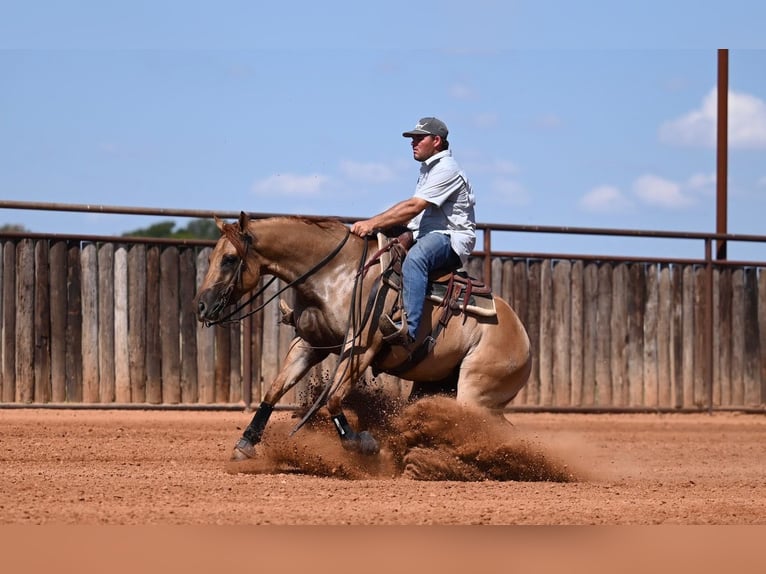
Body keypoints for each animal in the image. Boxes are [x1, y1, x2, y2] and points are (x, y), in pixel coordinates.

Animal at [193, 212, 531, 460]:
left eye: (229, 259)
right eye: (211, 259)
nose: (201, 306)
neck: (334, 273)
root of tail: (523, 338)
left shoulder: (361, 347)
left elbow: (332, 399)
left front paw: (361, 443)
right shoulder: (309, 344)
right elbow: (274, 391)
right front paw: (245, 444)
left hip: (474, 392)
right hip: (439, 387)